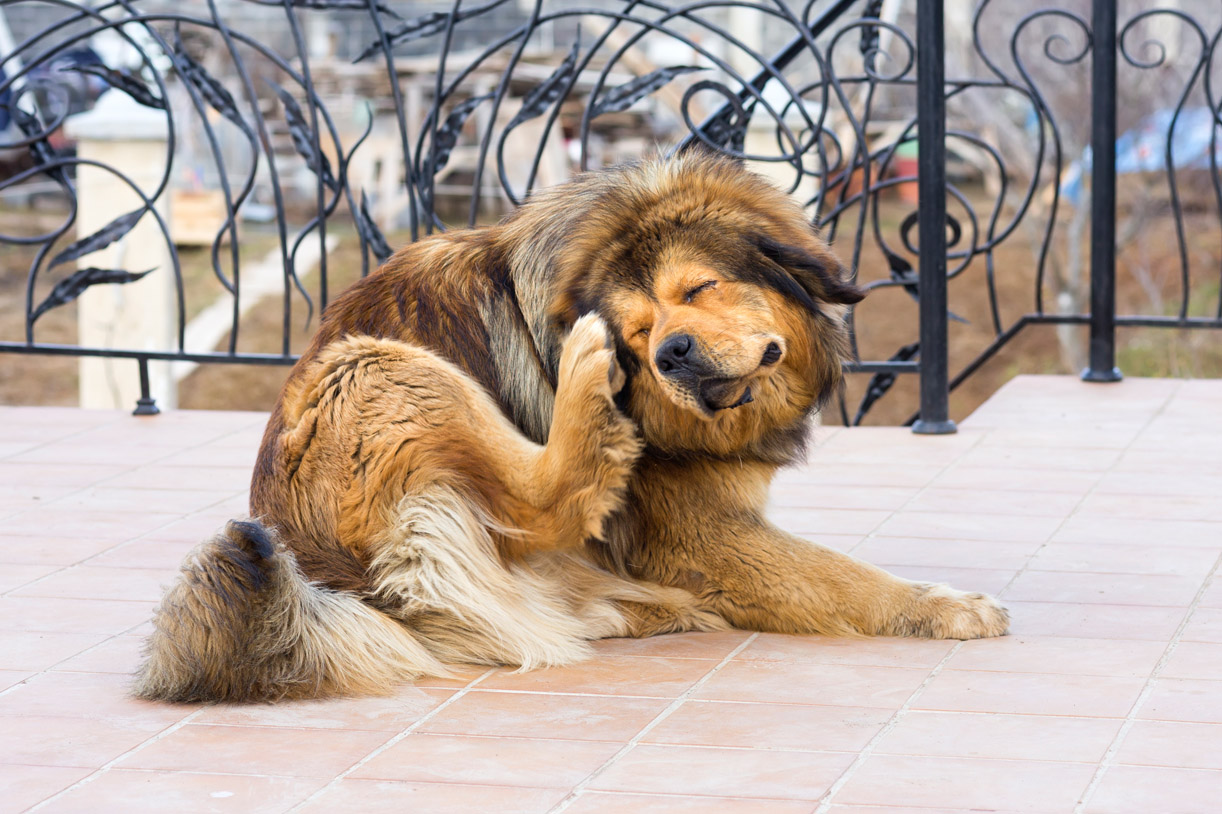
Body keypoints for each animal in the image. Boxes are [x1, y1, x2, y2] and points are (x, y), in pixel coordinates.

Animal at [136, 154, 1011, 704]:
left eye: (698, 289)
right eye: (638, 331)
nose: (669, 353)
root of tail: (321, 578)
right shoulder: (702, 533)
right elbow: (845, 577)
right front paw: (946, 608)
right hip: (377, 366)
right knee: (543, 501)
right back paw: (586, 395)